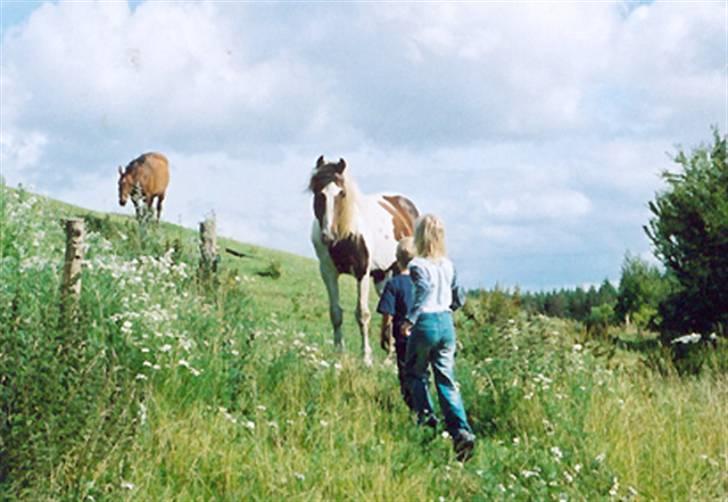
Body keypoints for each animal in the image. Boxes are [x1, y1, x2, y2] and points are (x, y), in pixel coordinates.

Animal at [308, 156, 420, 364]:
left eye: (342, 193)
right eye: (319, 193)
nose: (328, 236)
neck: (345, 234)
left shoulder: (362, 272)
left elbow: (362, 314)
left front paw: (366, 357)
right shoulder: (328, 272)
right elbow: (335, 313)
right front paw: (339, 352)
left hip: (398, 270)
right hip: (382, 276)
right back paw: (390, 355)